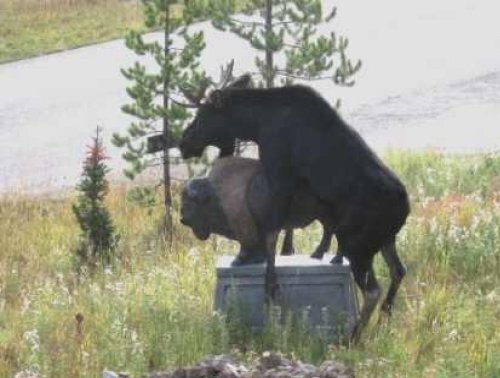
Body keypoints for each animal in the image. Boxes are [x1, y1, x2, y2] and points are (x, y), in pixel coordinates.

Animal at [180, 157, 336, 266]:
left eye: (188, 203)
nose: (182, 219)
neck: (216, 194)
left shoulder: (245, 228)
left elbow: (247, 245)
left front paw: (238, 261)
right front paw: (259, 259)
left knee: (329, 230)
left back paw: (320, 255)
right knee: (329, 230)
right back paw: (319, 255)